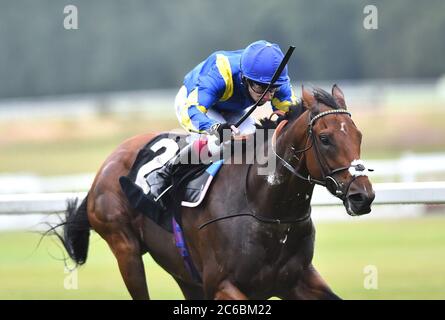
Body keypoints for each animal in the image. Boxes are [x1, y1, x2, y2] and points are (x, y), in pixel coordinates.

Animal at [55, 85, 374, 300]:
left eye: (359, 135)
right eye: (325, 138)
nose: (363, 196)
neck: (265, 207)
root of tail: (104, 168)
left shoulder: (295, 280)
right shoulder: (222, 285)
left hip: (183, 271)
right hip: (125, 248)